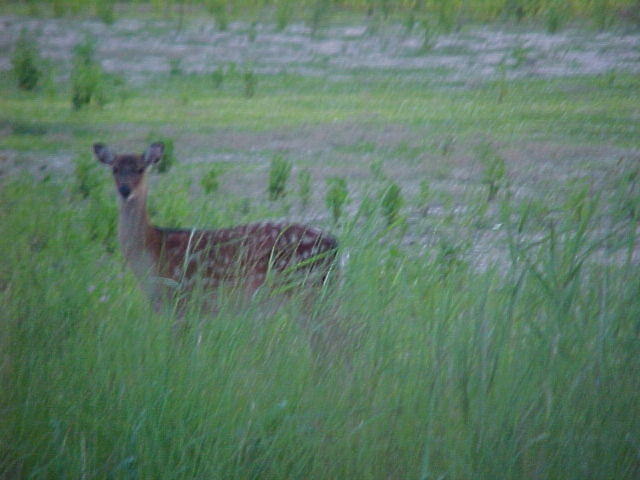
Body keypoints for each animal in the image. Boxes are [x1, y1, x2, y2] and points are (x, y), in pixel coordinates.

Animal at [93, 142, 339, 326]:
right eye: (114, 169)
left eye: (140, 169)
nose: (125, 190)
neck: (153, 251)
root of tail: (334, 243)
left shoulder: (183, 300)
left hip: (305, 289)